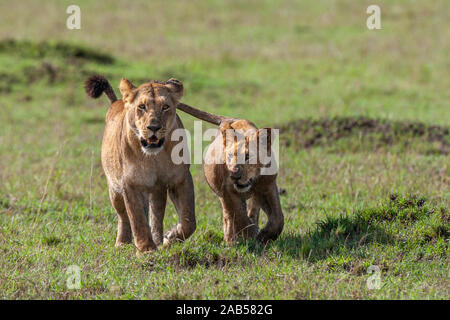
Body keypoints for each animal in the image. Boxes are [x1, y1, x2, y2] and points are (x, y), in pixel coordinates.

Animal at [84, 75, 195, 255]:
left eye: (165, 107)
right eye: (142, 107)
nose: (154, 127)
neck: (154, 157)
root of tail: (117, 102)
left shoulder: (180, 180)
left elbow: (188, 220)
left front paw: (170, 237)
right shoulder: (131, 184)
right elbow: (137, 219)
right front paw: (146, 250)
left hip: (157, 189)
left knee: (156, 214)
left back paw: (158, 239)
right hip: (114, 189)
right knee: (123, 216)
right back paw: (122, 242)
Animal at [177, 104, 284, 244]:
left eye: (248, 156)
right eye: (229, 156)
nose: (234, 175)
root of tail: (231, 119)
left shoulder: (268, 186)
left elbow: (278, 218)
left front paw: (264, 236)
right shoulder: (227, 191)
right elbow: (238, 216)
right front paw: (248, 236)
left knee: (252, 209)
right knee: (229, 216)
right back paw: (230, 239)